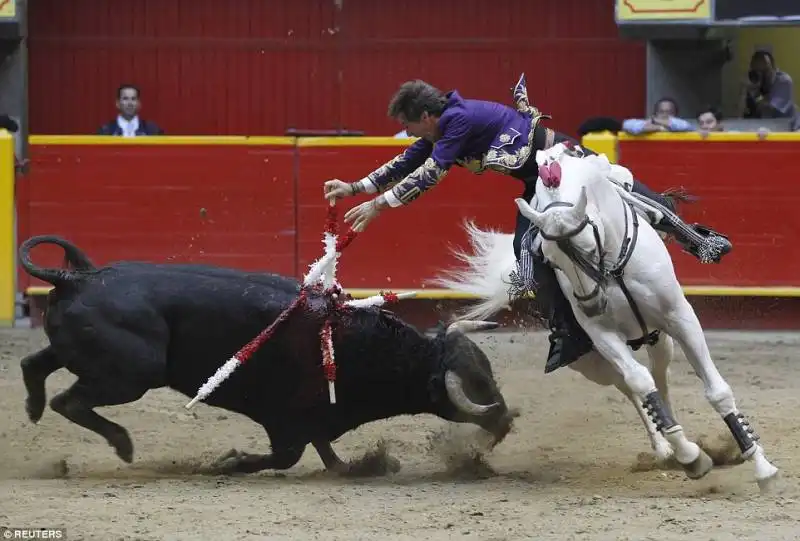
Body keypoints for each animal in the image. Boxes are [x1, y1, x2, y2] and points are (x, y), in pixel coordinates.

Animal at [20, 235, 520, 472]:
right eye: (476, 384)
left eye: (487, 372)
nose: (505, 418)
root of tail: (78, 277)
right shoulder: (286, 419)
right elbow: (289, 456)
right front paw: (231, 462)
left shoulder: (316, 416)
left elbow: (327, 453)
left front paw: (361, 466)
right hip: (132, 374)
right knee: (70, 400)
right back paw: (121, 444)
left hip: (94, 360)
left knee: (34, 364)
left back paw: (32, 408)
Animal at [434, 141, 780, 492]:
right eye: (550, 260)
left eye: (588, 248)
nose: (590, 306)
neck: (611, 266)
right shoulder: (601, 334)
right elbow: (639, 383)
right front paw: (691, 456)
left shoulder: (680, 317)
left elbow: (716, 390)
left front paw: (762, 467)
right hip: (592, 362)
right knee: (633, 385)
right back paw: (670, 449)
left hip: (659, 339)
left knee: (660, 378)